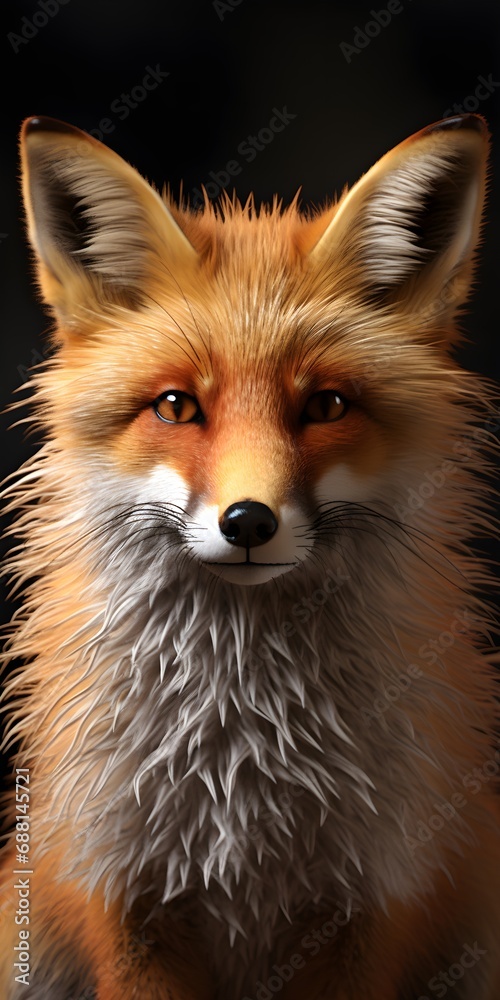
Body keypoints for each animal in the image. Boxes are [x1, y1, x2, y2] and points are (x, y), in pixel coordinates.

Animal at [0, 111, 499, 999]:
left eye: (326, 405)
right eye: (176, 406)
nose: (248, 522)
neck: (243, 769)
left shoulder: (370, 903)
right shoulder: (127, 899)